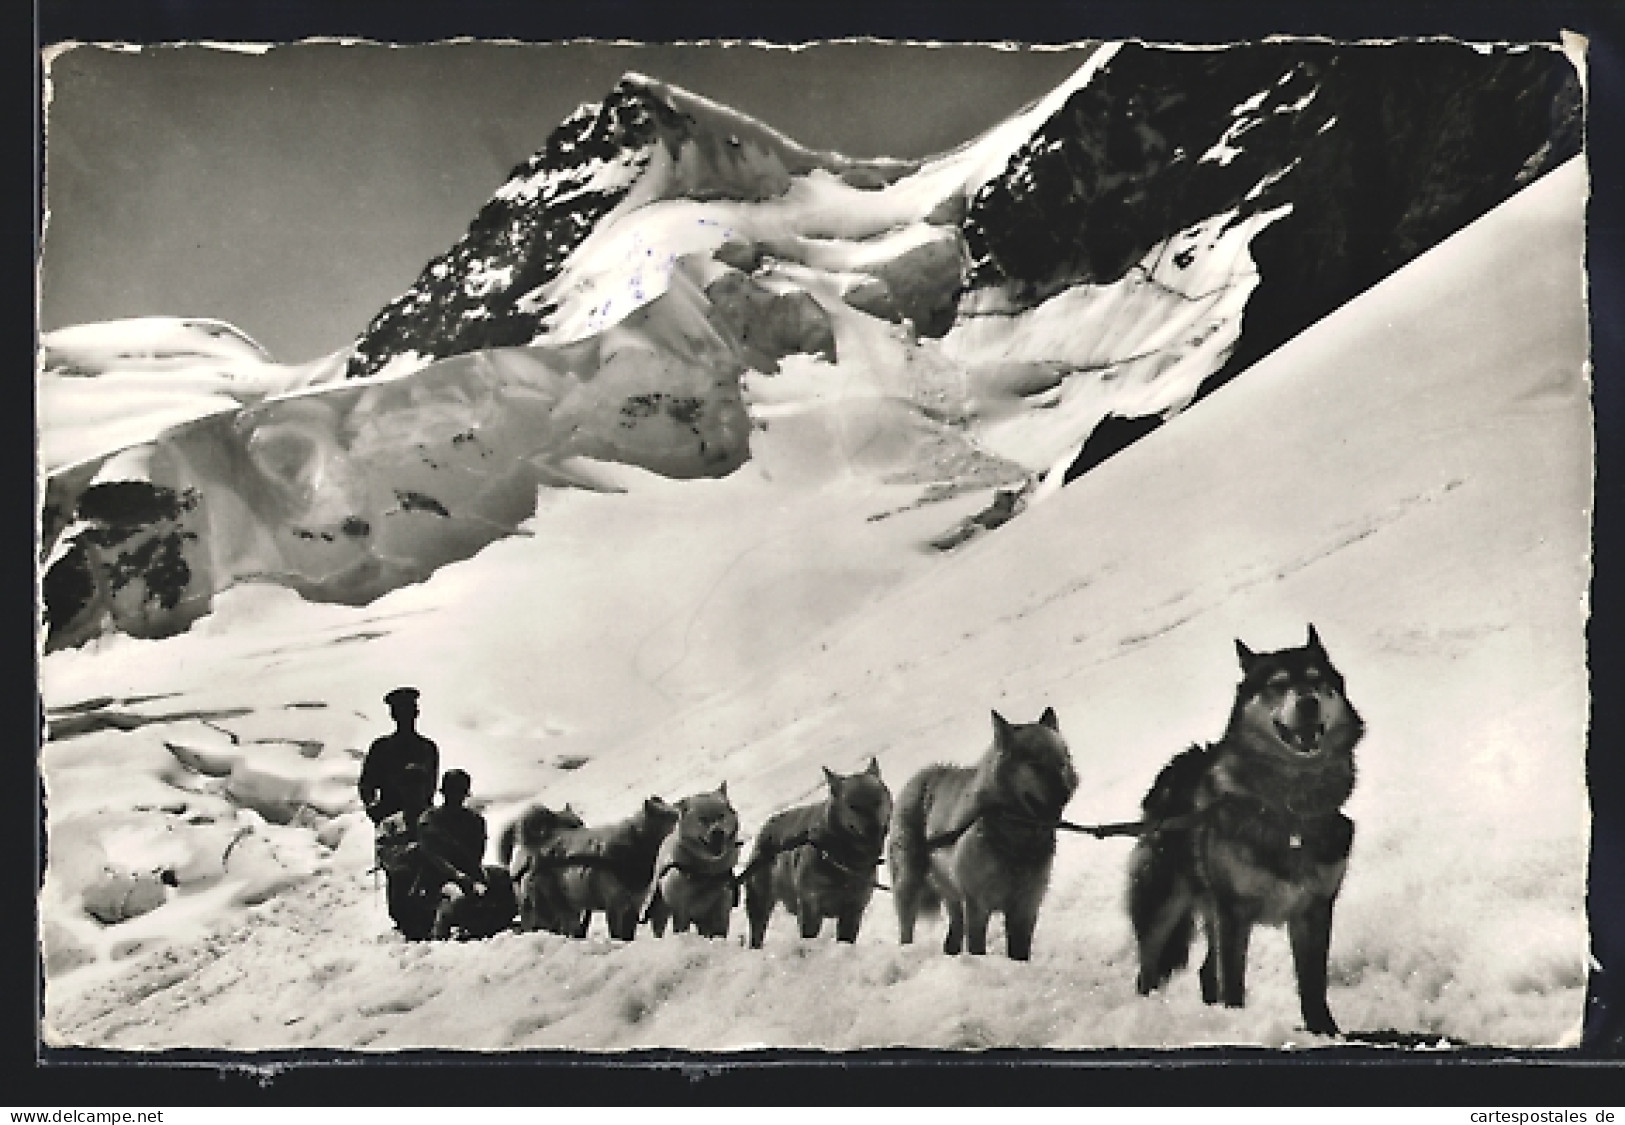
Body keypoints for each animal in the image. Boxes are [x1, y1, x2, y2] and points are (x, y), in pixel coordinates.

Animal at [643, 783, 741, 942]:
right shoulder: (682, 910)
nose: (717, 832)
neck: (706, 873)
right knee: (659, 927)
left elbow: (720, 932)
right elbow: (681, 927)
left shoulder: (721, 909)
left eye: (721, 816)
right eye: (702, 819)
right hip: (660, 908)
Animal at [744, 754, 897, 949]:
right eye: (853, 806)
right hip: (759, 900)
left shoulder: (854, 908)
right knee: (757, 929)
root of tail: (766, 827)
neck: (843, 855)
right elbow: (809, 934)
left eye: (877, 801)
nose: (874, 829)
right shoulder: (811, 906)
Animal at [890, 702, 1079, 955]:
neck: (1017, 840)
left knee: (954, 929)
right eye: (1036, 766)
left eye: (1061, 764)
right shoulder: (979, 906)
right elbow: (977, 947)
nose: (1065, 795)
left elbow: (1019, 955)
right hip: (909, 883)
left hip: (951, 890)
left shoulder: (1026, 909)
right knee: (906, 929)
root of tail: (922, 775)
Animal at [1131, 627, 1371, 1033]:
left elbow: (1313, 986)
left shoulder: (1314, 909)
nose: (1308, 703)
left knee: (1204, 972)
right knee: (1148, 970)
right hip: (1163, 906)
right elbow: (1234, 985)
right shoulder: (1232, 911)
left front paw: (1325, 1033)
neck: (1288, 808)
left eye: (1316, 680)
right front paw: (1236, 1023)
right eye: (1277, 685)